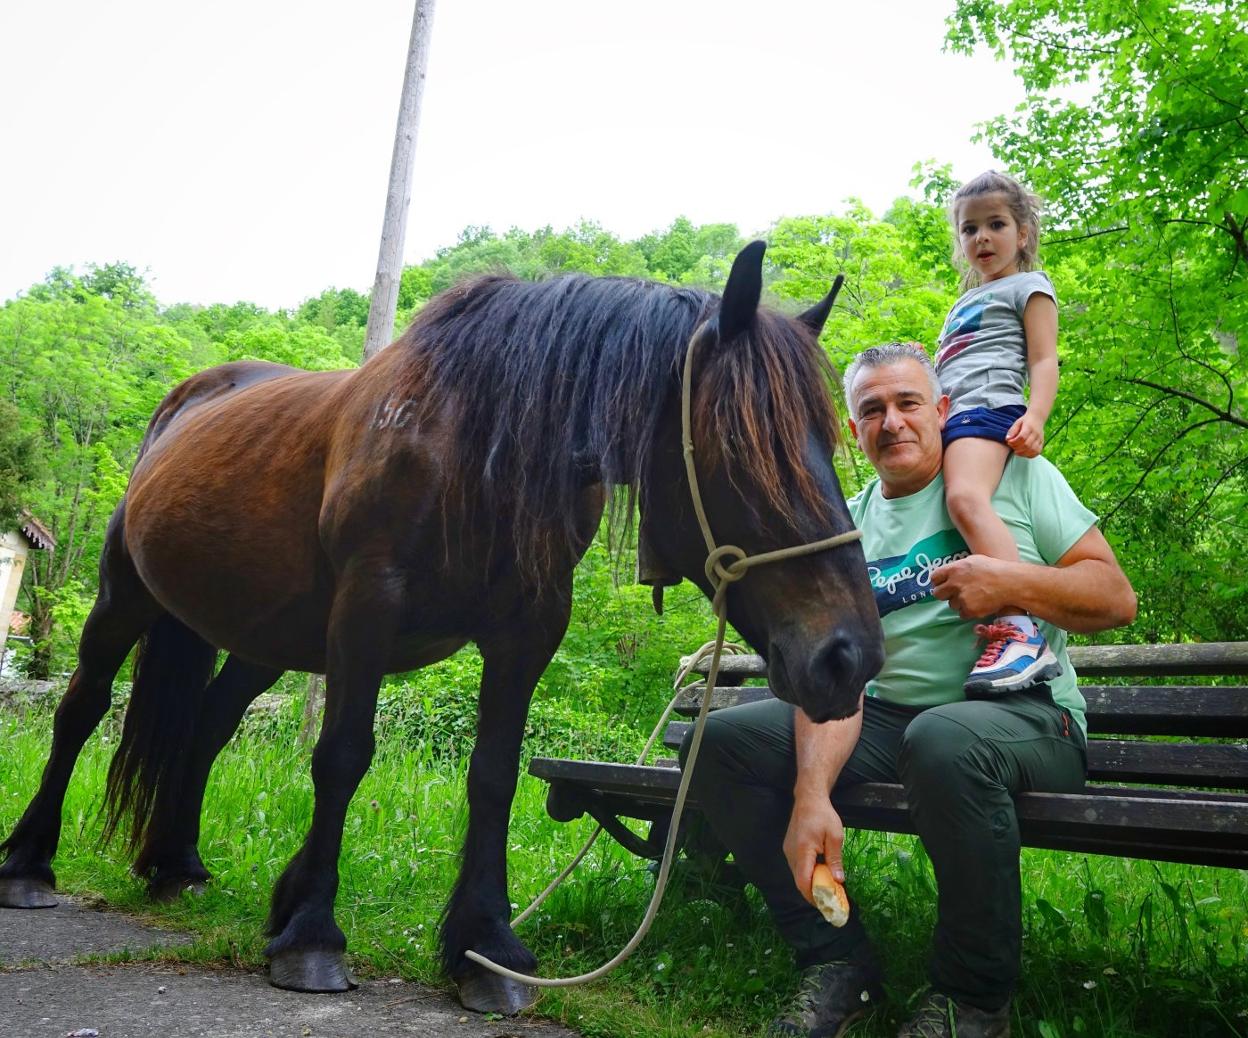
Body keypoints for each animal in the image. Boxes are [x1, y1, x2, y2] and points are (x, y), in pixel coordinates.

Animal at [0, 240, 883, 1013]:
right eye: (743, 444)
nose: (850, 656)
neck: (473, 449)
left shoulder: (527, 632)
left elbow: (492, 774)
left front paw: (482, 945)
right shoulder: (366, 611)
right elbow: (342, 757)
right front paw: (311, 932)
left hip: (269, 640)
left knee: (210, 724)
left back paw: (176, 862)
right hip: (124, 599)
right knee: (80, 710)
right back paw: (30, 865)